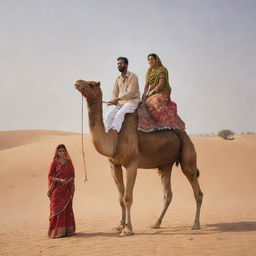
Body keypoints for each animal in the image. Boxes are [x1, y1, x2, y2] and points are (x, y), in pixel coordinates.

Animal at [74, 80, 204, 236]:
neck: (114, 138)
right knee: (168, 194)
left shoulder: (132, 164)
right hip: (166, 164)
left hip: (188, 154)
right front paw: (119, 226)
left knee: (197, 190)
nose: (78, 82)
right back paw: (156, 223)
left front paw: (128, 229)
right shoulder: (114, 164)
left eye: (92, 84)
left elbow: (127, 198)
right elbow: (120, 197)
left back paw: (195, 225)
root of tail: (185, 134)